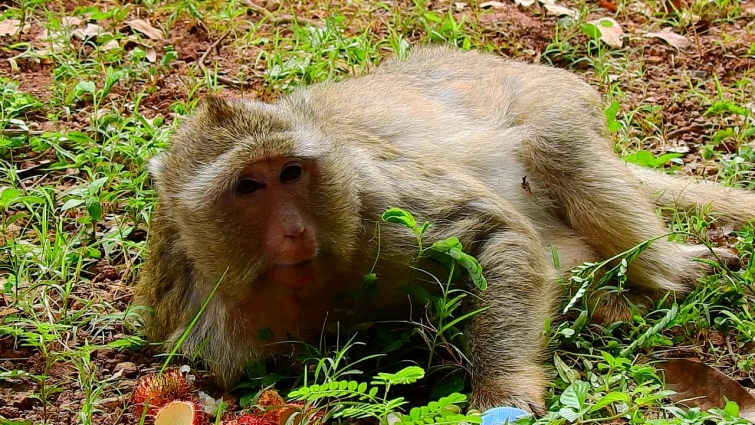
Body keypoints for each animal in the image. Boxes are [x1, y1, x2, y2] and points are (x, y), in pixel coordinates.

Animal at [133, 45, 755, 415]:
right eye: (247, 187)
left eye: (290, 173)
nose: (293, 231)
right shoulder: (196, 319)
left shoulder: (376, 200)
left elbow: (494, 236)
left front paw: (504, 390)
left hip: (547, 93)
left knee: (556, 144)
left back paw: (669, 270)